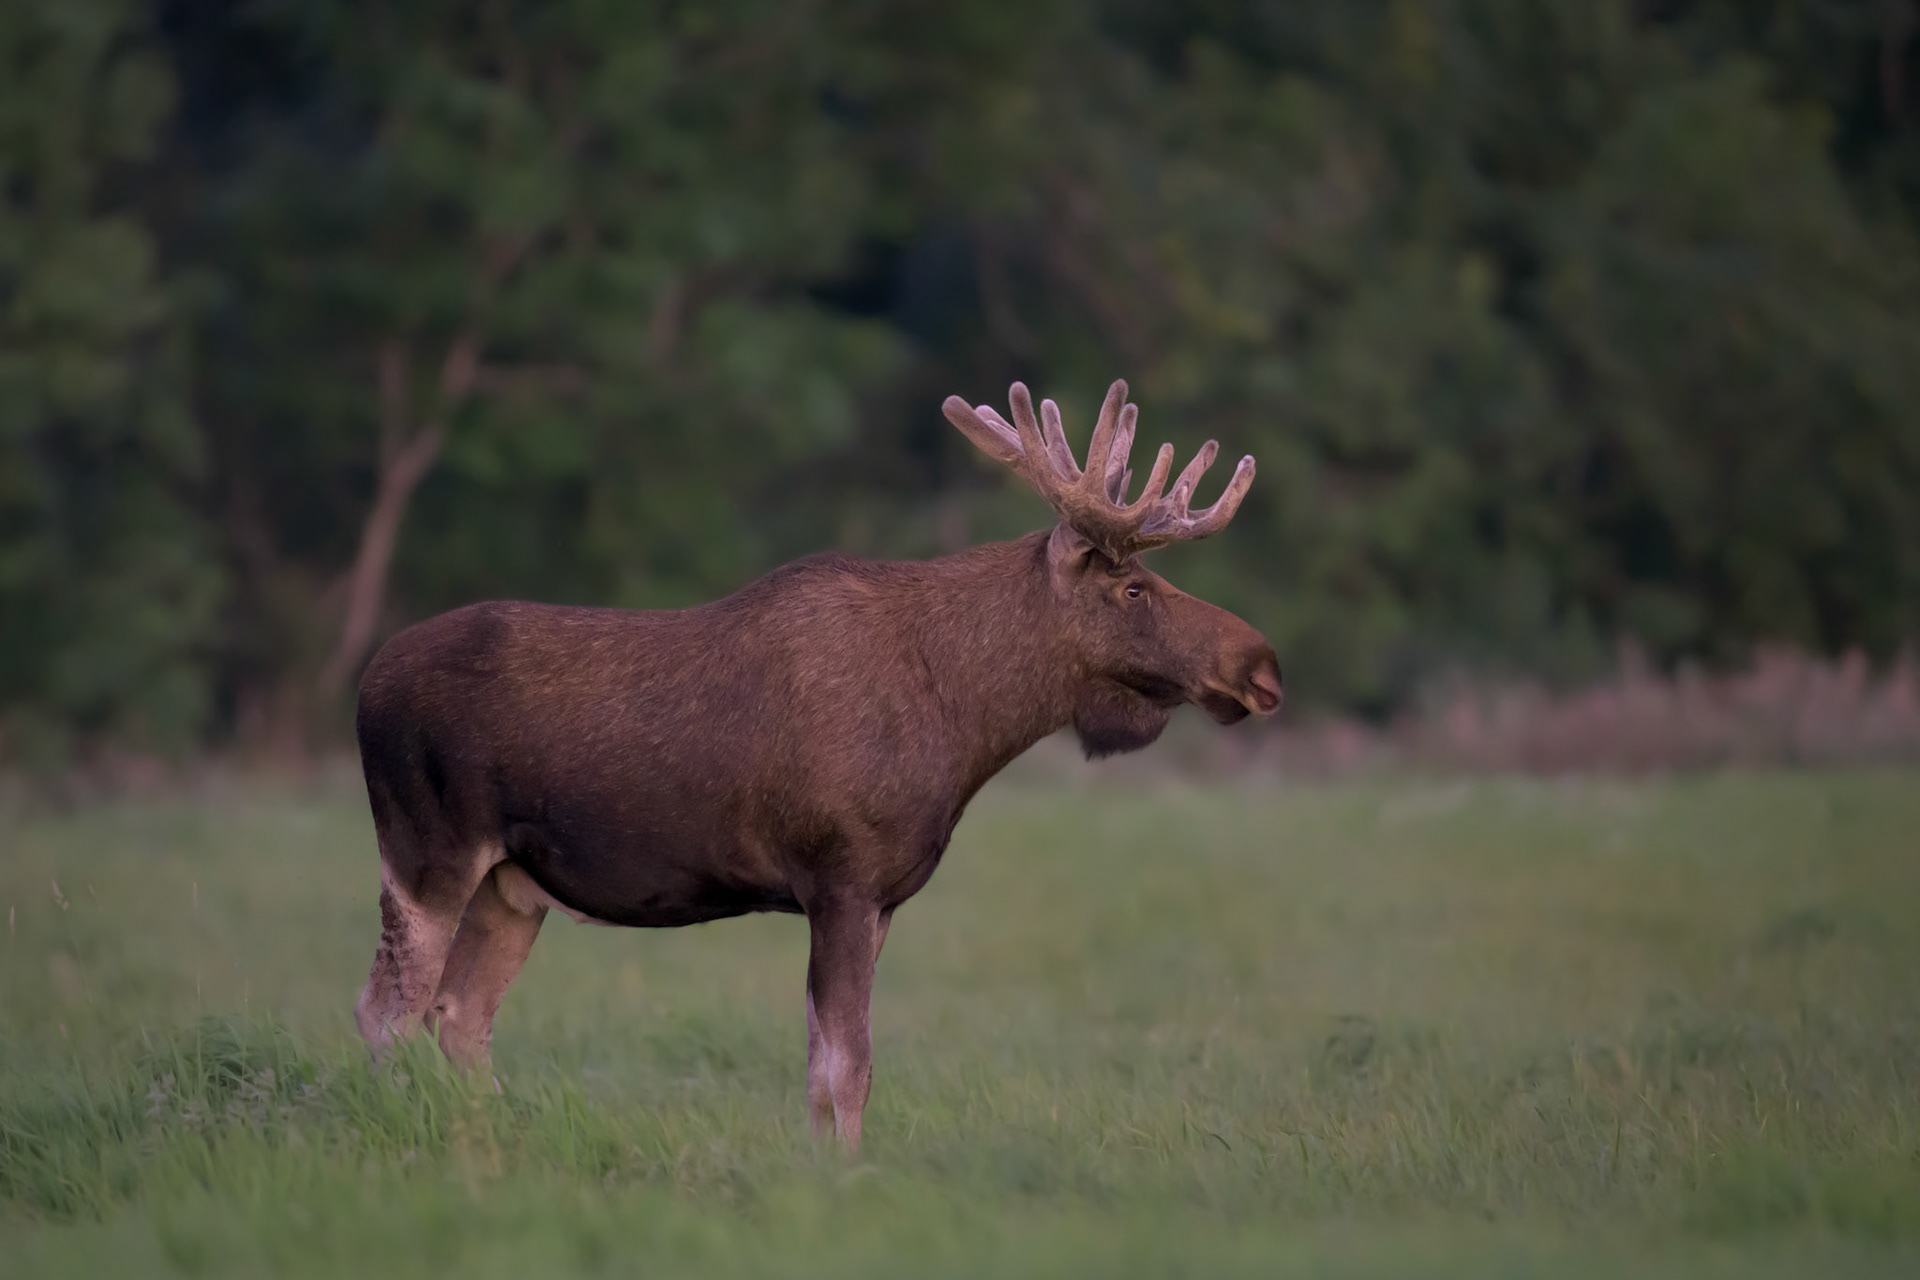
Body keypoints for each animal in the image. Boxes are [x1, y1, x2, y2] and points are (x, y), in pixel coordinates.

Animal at [352, 379, 1280, 1153]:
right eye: (1133, 589)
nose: (1262, 665)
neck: (966, 723)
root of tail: (363, 685)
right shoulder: (841, 877)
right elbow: (850, 1066)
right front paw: (848, 1178)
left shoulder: (876, 899)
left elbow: (818, 1072)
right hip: (427, 851)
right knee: (386, 1010)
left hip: (513, 884)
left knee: (459, 1014)